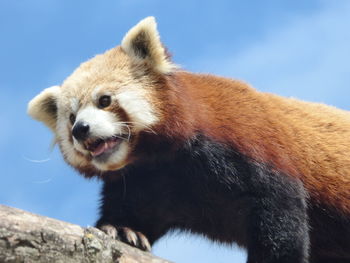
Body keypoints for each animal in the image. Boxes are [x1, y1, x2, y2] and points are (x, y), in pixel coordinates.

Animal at [27, 17, 350, 263]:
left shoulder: (250, 148)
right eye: (70, 118)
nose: (80, 130)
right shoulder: (148, 183)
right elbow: (133, 211)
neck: (165, 160)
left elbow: (280, 215)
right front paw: (122, 230)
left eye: (104, 100)